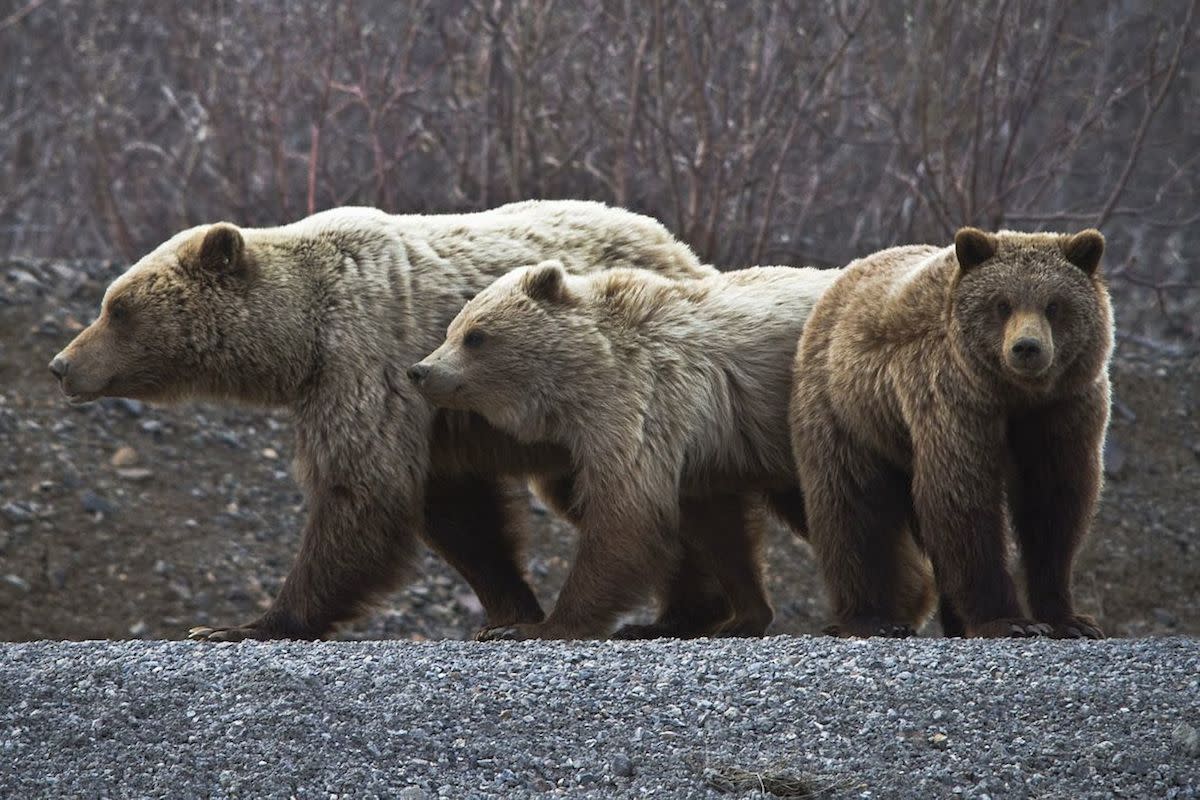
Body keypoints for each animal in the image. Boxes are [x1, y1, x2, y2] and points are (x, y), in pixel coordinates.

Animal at [408, 261, 840, 638]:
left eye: (475, 335)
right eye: (451, 329)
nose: (420, 370)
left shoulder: (644, 403)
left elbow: (624, 514)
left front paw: (534, 627)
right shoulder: (701, 453)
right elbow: (718, 529)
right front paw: (739, 615)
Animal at [787, 226, 1113, 638]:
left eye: (1054, 304)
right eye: (1002, 303)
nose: (1026, 347)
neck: (1013, 394)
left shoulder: (1062, 407)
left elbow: (1054, 501)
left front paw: (1070, 619)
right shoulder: (952, 399)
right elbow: (962, 497)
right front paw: (1008, 620)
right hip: (848, 414)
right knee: (852, 510)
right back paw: (872, 618)